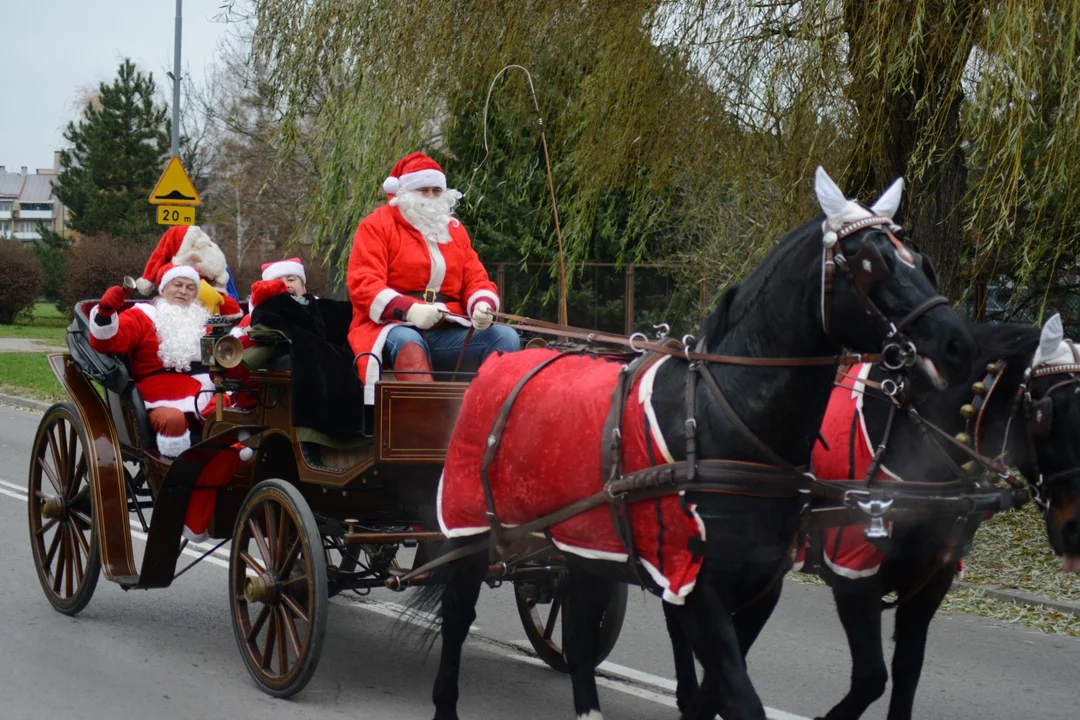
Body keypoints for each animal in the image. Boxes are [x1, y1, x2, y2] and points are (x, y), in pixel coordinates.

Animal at [414, 170, 980, 720]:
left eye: (920, 263)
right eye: (869, 263)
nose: (957, 344)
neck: (723, 421)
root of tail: (502, 359)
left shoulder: (759, 589)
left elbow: (716, 694)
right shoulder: (698, 590)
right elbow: (739, 698)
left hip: (585, 544)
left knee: (576, 633)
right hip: (471, 528)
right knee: (458, 615)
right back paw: (444, 702)